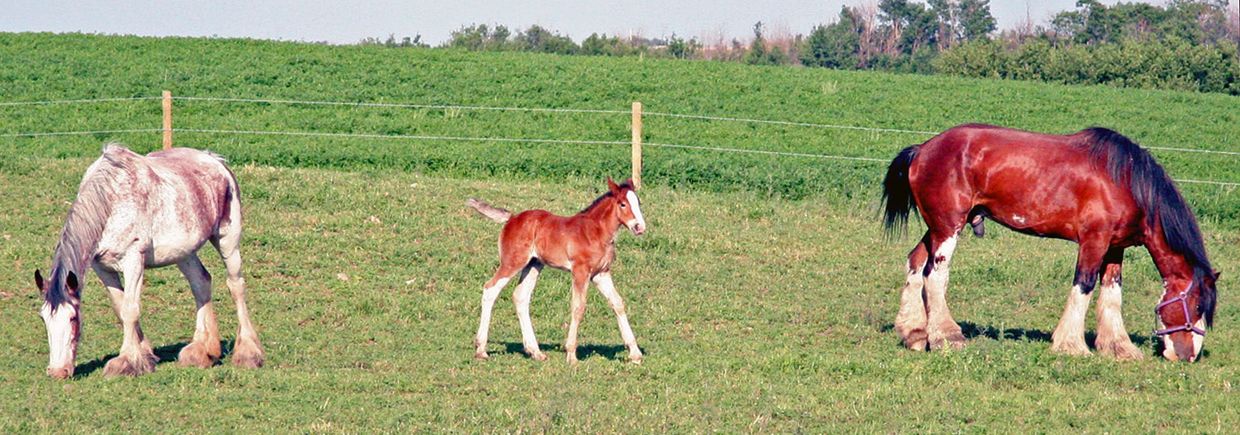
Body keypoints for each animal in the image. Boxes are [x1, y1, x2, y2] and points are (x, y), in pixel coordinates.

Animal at [34, 143, 264, 379]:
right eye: (44, 318)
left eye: (72, 318)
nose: (58, 371)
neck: (112, 200)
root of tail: (216, 161)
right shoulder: (102, 267)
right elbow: (120, 306)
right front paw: (144, 355)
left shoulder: (134, 259)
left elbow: (130, 309)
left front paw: (126, 362)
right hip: (184, 253)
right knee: (201, 283)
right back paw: (203, 351)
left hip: (227, 240)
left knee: (236, 286)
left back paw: (248, 353)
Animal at [466, 178, 649, 364]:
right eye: (622, 204)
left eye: (638, 203)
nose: (639, 227)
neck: (595, 231)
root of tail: (512, 218)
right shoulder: (580, 271)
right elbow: (578, 307)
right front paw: (571, 355)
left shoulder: (601, 274)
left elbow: (617, 303)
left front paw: (635, 354)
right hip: (512, 262)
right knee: (490, 289)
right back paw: (481, 349)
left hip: (533, 265)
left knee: (520, 296)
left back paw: (535, 352)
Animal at [882, 124, 1220, 361]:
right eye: (1196, 305)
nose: (1188, 356)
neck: (1126, 181)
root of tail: (922, 149)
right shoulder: (1093, 242)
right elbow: (1084, 286)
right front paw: (1071, 345)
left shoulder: (1115, 248)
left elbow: (1112, 294)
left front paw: (1118, 347)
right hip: (948, 227)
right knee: (935, 274)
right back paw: (946, 337)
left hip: (938, 227)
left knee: (915, 263)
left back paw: (915, 334)